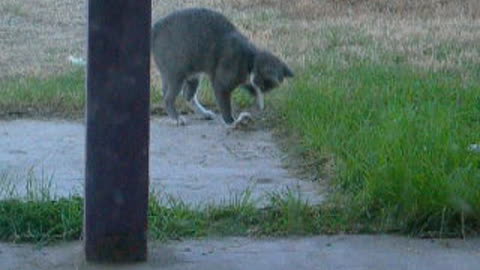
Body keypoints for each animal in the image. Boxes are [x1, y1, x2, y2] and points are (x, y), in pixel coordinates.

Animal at [152, 7, 292, 127]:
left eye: (266, 89)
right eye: (263, 86)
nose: (261, 107)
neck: (249, 59)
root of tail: (155, 28)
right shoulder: (222, 81)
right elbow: (224, 103)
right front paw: (232, 122)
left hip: (192, 74)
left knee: (187, 95)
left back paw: (204, 113)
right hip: (176, 72)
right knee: (168, 97)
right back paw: (176, 118)